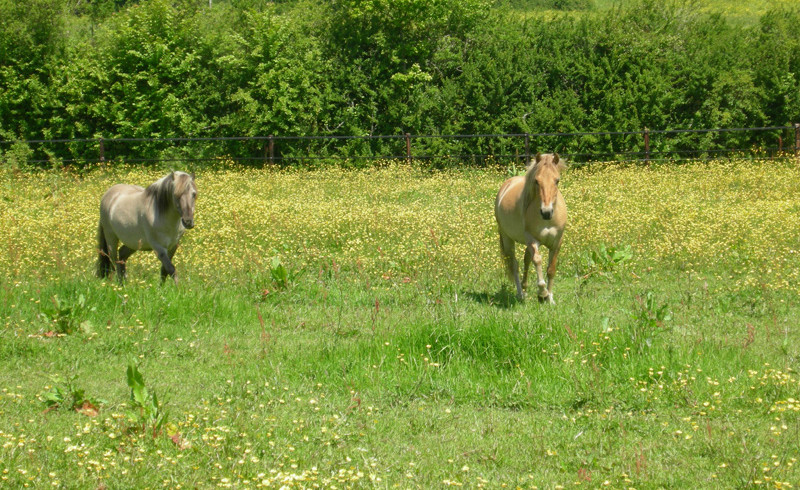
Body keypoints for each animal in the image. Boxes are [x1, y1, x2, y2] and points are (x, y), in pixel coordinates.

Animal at [490, 153, 564, 302]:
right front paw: (542, 292)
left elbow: (551, 270)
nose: (546, 212)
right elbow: (537, 260)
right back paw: (521, 294)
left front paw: (550, 298)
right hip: (507, 239)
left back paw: (525, 288)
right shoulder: (532, 239)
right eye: (536, 181)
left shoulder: (557, 242)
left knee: (526, 259)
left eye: (557, 180)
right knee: (515, 265)